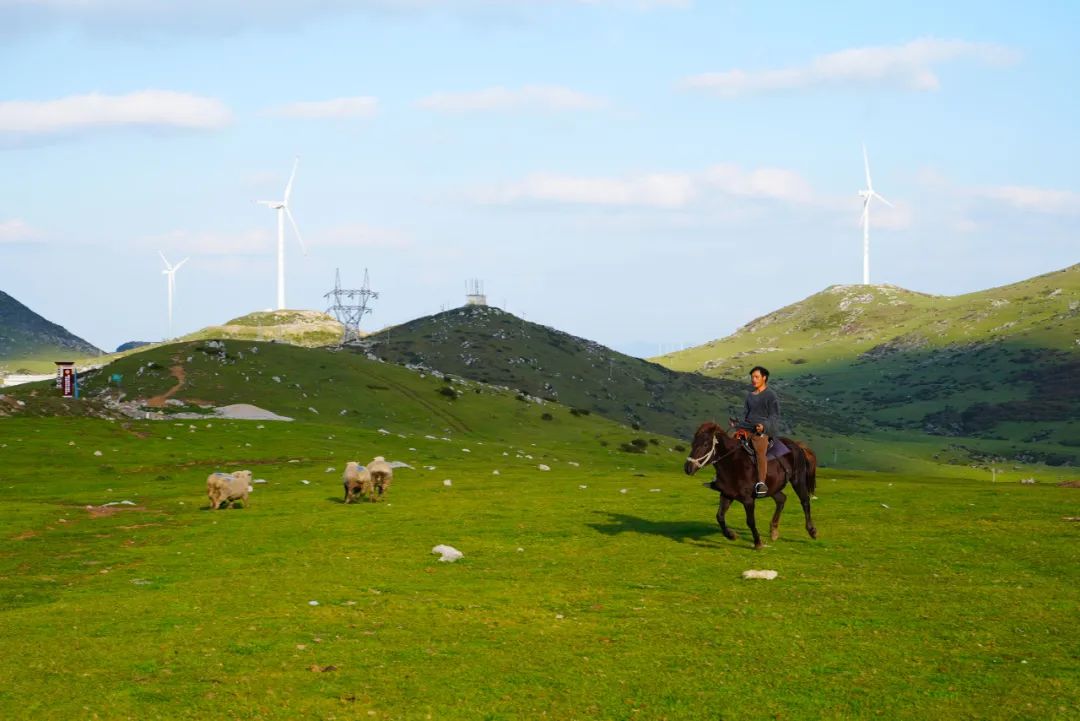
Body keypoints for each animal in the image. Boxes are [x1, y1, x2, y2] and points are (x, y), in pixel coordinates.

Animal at [682, 418, 816, 548]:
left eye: (705, 444)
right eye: (693, 444)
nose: (688, 468)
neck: (731, 463)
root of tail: (796, 445)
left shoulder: (748, 500)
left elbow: (750, 521)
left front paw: (758, 543)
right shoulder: (726, 495)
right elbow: (719, 516)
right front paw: (731, 535)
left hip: (797, 480)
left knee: (804, 501)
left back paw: (812, 531)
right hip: (773, 488)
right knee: (781, 499)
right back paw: (773, 530)